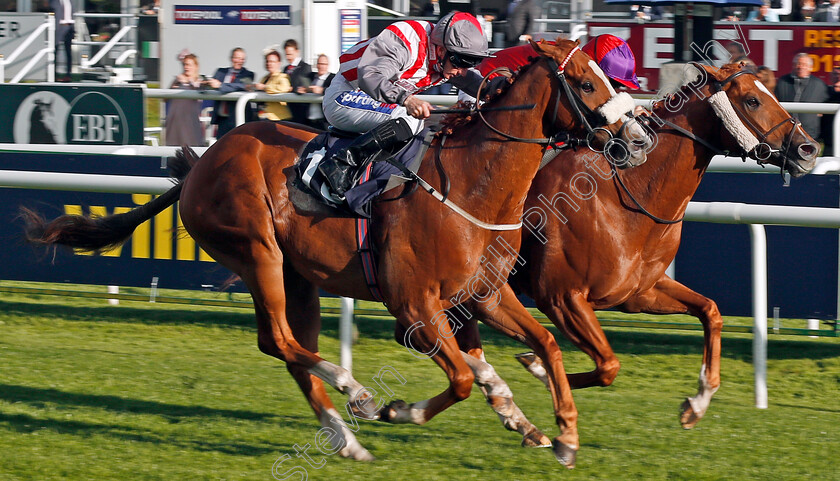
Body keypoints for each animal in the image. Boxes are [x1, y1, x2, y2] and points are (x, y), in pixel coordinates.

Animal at [23, 39, 648, 466]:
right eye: (587, 85)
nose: (638, 138)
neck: (471, 185)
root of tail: (201, 162)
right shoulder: (413, 307)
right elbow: (463, 380)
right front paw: (400, 409)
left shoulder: (486, 296)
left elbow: (545, 346)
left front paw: (562, 434)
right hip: (258, 253)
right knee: (278, 339)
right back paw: (358, 396)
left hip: (298, 277)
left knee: (288, 348)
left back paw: (346, 438)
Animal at [452, 61, 820, 432]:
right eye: (752, 100)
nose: (809, 149)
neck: (626, 197)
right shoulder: (561, 297)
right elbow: (607, 366)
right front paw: (539, 369)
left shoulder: (638, 292)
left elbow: (710, 311)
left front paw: (697, 403)